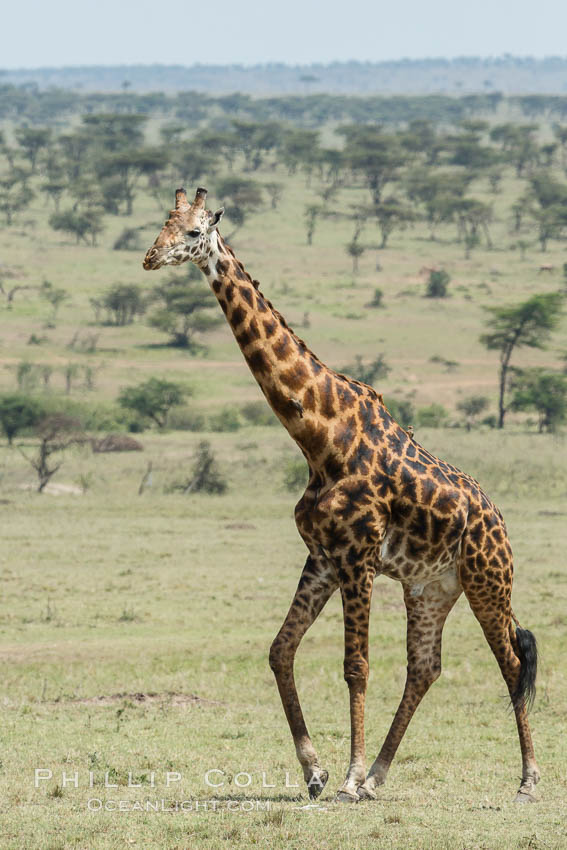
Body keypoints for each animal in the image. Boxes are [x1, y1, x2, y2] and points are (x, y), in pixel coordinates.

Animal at [143, 186, 540, 800]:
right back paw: (379, 775)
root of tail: (498, 521)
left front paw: (346, 778)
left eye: (193, 232)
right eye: (163, 222)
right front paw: (317, 771)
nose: (150, 257)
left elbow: (356, 667)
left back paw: (526, 778)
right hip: (431, 588)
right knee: (425, 667)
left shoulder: (358, 555)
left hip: (487, 582)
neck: (318, 437)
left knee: (513, 662)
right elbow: (281, 650)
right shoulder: (323, 556)